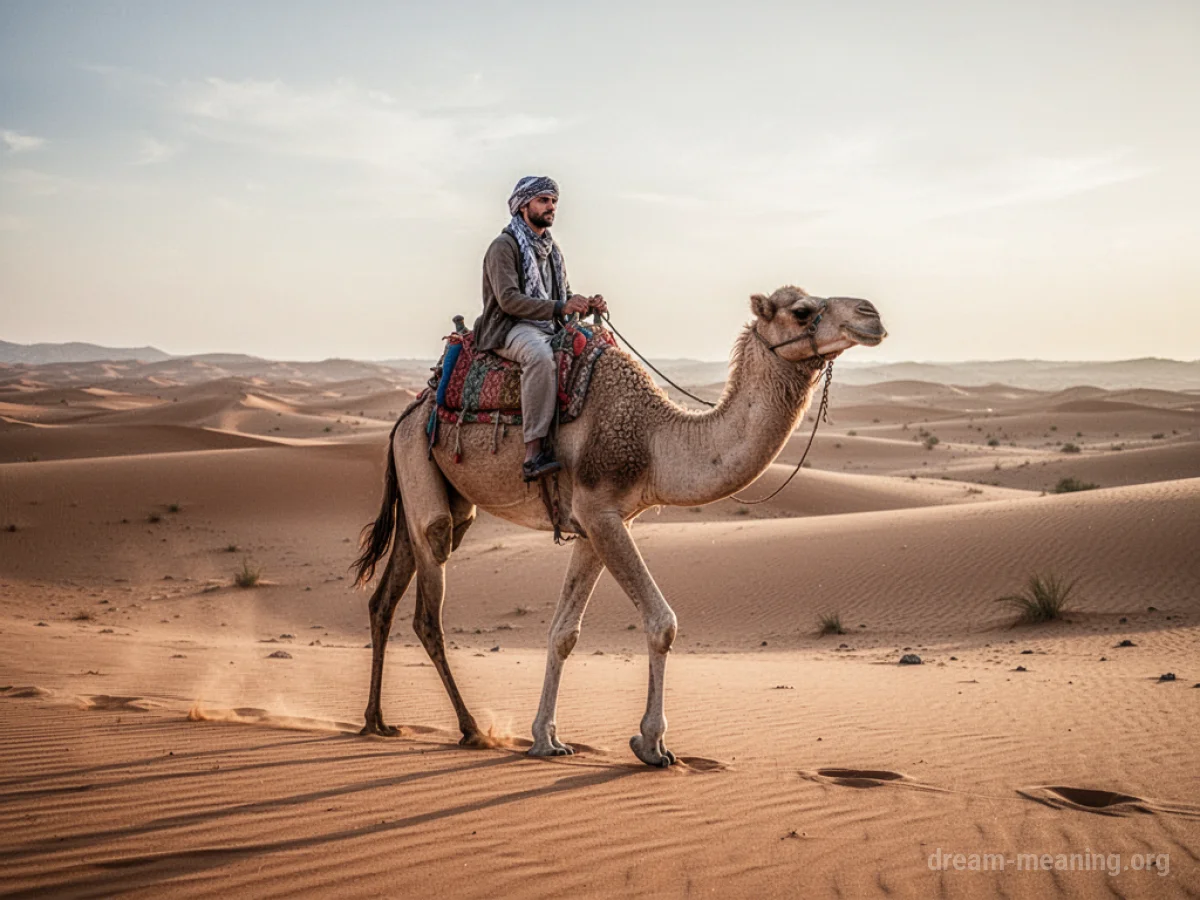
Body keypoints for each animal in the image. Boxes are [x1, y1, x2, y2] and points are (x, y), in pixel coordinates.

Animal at [352, 286, 886, 766]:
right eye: (803, 311)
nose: (872, 314)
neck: (655, 441)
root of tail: (407, 414)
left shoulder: (595, 525)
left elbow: (563, 633)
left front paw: (547, 739)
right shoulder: (601, 513)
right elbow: (661, 623)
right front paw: (652, 744)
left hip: (433, 488)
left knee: (385, 597)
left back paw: (376, 722)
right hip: (422, 468)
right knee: (428, 604)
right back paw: (469, 729)